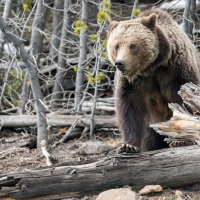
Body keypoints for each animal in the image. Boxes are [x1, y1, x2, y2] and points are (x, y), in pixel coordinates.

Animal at [107, 7, 200, 152]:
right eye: (116, 45)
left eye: (132, 45)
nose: (120, 63)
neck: (151, 67)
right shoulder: (132, 83)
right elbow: (129, 107)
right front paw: (128, 145)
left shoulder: (175, 70)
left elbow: (184, 100)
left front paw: (181, 140)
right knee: (150, 139)